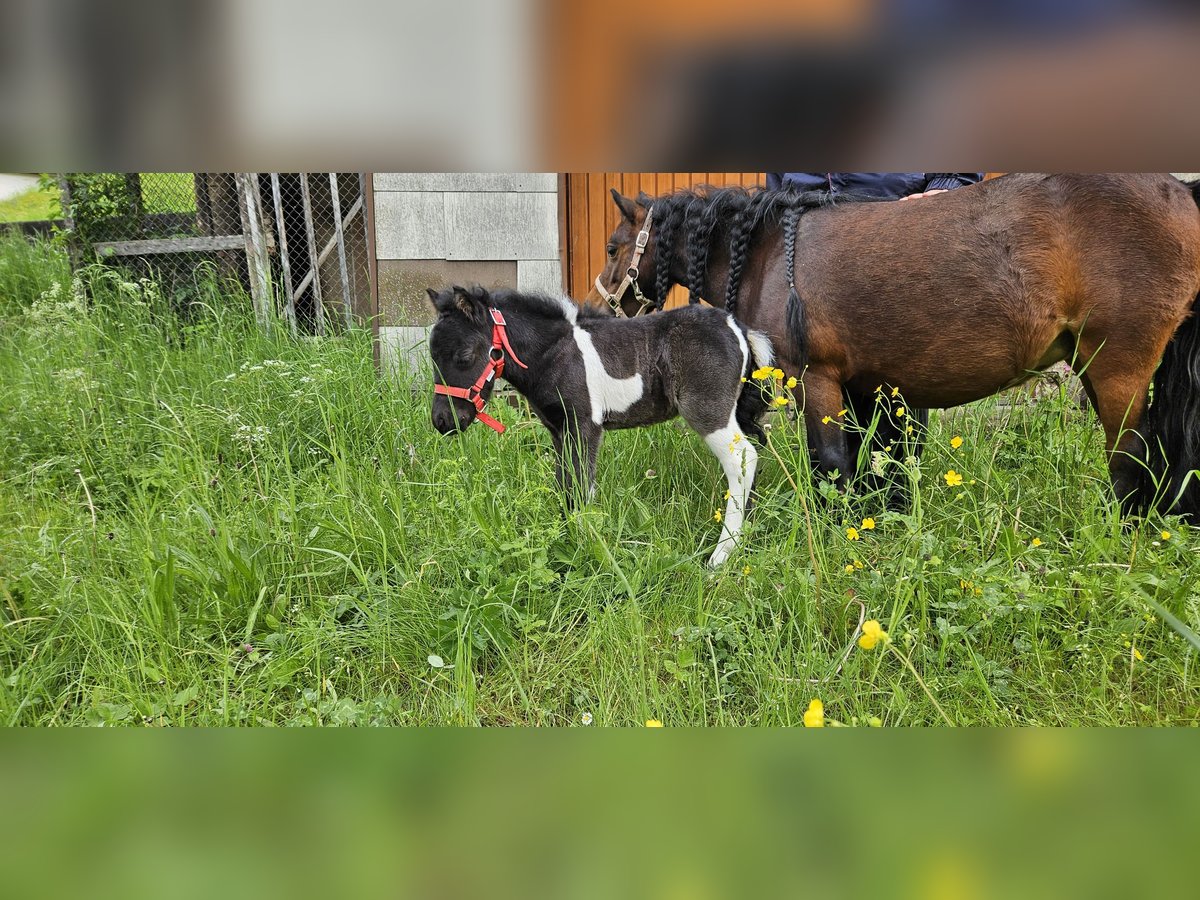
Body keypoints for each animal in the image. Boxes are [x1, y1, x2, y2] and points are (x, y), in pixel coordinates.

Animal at [427, 285, 772, 566]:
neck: (556, 355)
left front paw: (587, 548)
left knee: (742, 458)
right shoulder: (558, 430)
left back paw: (721, 556)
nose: (442, 421)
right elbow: (565, 485)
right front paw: (567, 541)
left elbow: (581, 488)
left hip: (708, 411)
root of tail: (738, 328)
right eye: (432, 357)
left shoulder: (585, 426)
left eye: (464, 356)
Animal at [588, 172, 1200, 518]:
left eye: (616, 246)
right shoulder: (862, 388)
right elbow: (872, 464)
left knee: (1130, 461)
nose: (595, 310)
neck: (768, 250)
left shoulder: (817, 381)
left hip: (1118, 369)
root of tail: (1181, 192)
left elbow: (832, 464)